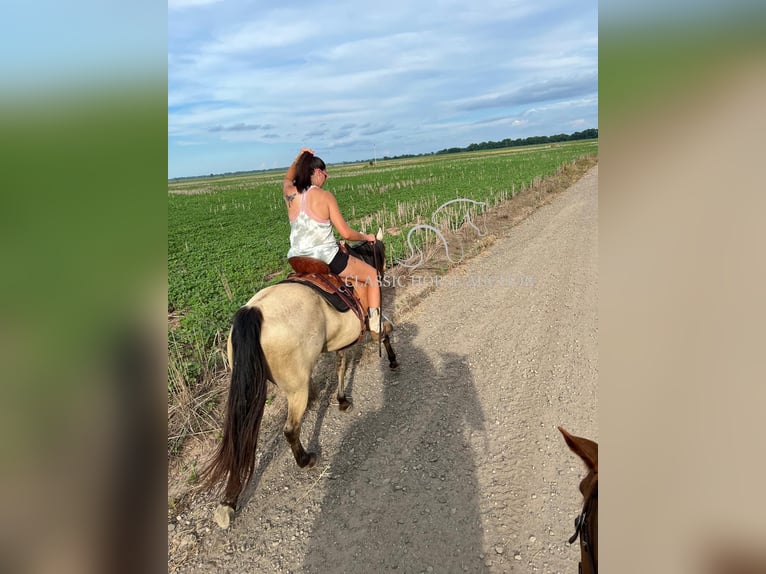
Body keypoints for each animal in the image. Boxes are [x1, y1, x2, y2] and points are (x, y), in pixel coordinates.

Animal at [201, 232, 400, 528]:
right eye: (382, 253)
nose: (384, 273)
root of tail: (254, 311)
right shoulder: (367, 324)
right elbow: (384, 332)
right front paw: (393, 361)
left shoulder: (342, 339)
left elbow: (341, 365)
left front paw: (341, 400)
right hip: (295, 389)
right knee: (290, 429)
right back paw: (305, 459)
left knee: (241, 438)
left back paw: (229, 500)